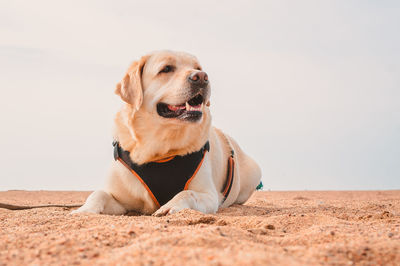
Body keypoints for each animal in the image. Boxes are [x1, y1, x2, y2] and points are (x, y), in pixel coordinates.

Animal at [72, 50, 262, 216]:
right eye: (166, 68)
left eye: (198, 67)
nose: (202, 77)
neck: (161, 148)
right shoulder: (119, 197)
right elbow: (98, 194)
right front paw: (83, 210)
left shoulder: (209, 194)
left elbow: (187, 193)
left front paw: (170, 206)